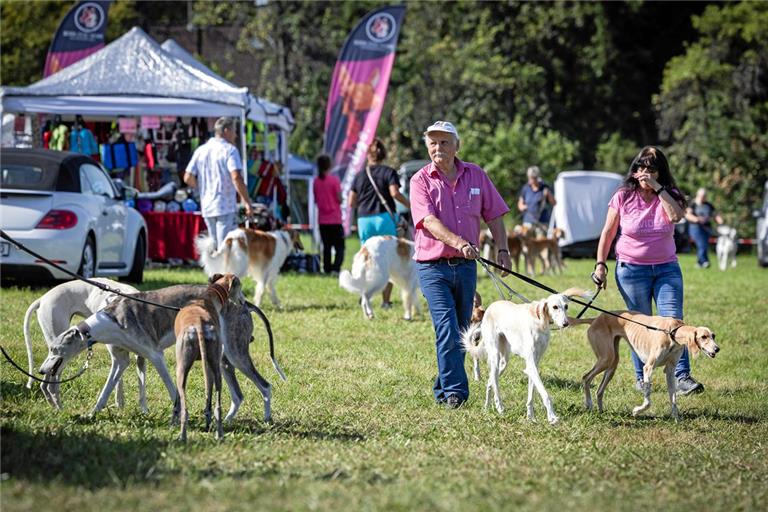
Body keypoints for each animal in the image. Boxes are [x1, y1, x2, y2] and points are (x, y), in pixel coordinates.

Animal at [22, 278, 144, 410]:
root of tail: (42, 299)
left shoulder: (136, 356)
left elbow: (129, 381)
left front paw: (124, 406)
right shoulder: (118, 356)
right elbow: (117, 380)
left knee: (45, 385)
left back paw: (54, 407)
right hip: (61, 353)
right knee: (52, 385)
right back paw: (61, 410)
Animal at [462, 288, 588, 424]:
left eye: (566, 306)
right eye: (555, 307)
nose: (566, 323)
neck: (539, 319)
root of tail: (491, 306)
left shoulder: (534, 364)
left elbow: (531, 395)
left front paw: (530, 417)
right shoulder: (531, 364)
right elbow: (545, 394)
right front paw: (552, 417)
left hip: (504, 361)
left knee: (490, 381)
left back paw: (486, 408)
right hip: (495, 356)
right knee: (495, 383)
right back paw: (500, 407)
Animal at [568, 312, 720, 420]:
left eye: (713, 335)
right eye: (704, 337)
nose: (717, 349)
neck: (672, 332)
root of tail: (596, 318)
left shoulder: (670, 370)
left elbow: (673, 397)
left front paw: (676, 418)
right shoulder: (648, 368)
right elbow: (648, 401)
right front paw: (636, 411)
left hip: (612, 364)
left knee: (599, 390)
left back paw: (600, 410)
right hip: (606, 359)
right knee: (586, 377)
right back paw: (589, 404)